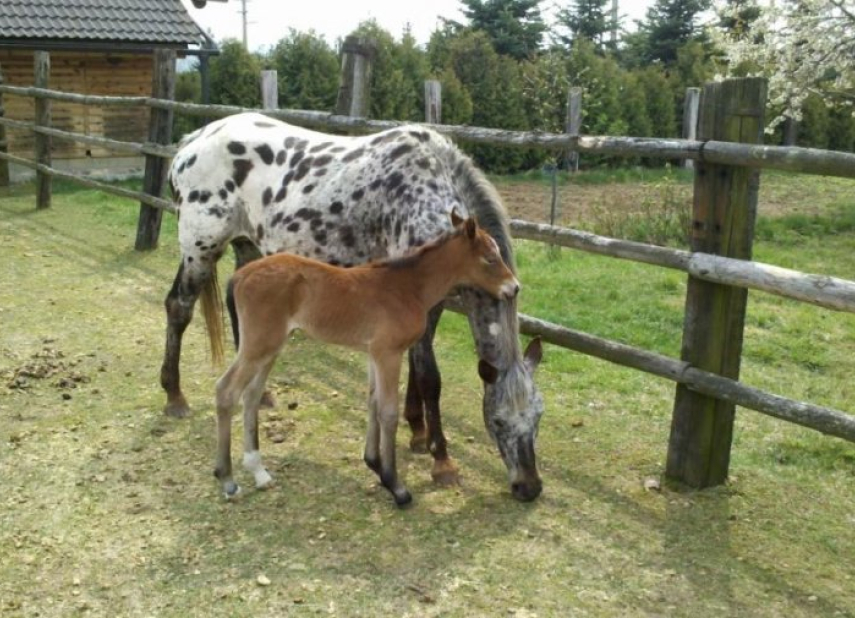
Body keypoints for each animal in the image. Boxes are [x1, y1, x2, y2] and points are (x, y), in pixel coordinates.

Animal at [210, 213, 520, 506]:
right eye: (490, 258)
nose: (514, 287)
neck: (408, 287)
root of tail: (240, 276)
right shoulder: (388, 353)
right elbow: (388, 412)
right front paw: (396, 486)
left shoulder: (374, 353)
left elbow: (372, 402)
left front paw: (375, 465)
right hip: (259, 344)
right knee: (227, 391)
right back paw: (228, 480)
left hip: (270, 347)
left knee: (251, 395)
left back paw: (259, 472)